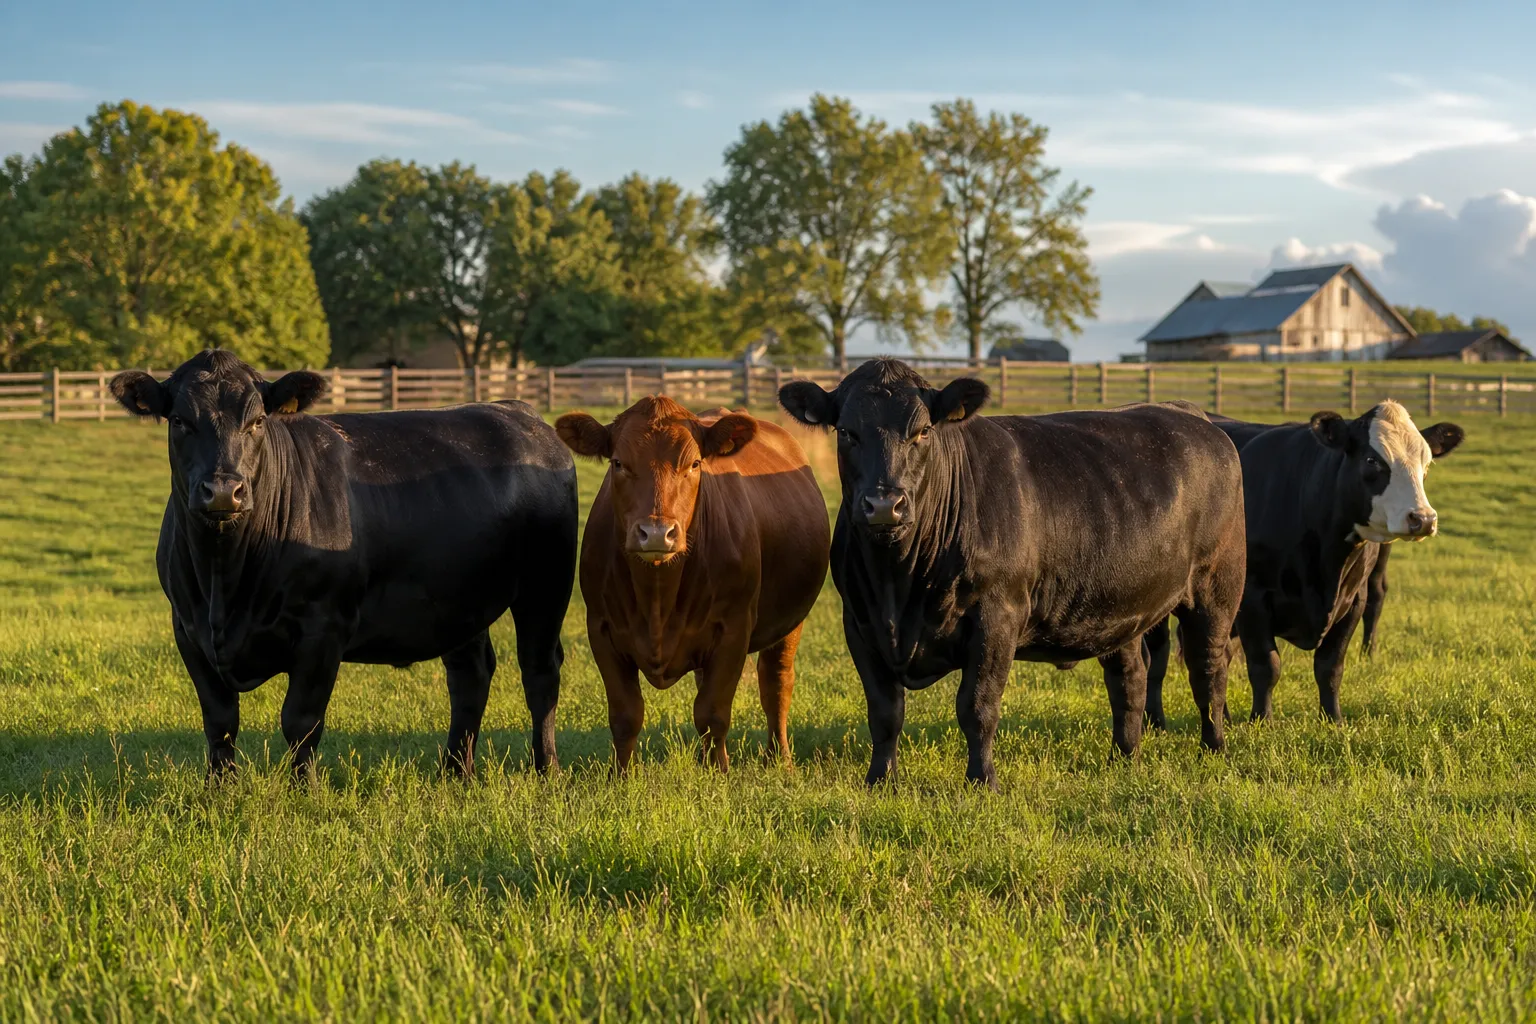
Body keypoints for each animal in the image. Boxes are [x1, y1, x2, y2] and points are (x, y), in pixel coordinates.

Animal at [109, 350, 578, 779]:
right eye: (179, 422)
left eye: (257, 421)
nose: (224, 491)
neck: (224, 582)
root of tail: (518, 411)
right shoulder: (188, 629)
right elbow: (219, 721)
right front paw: (219, 791)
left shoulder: (323, 626)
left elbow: (300, 720)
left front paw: (304, 793)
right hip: (460, 600)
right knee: (470, 675)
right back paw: (454, 773)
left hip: (546, 584)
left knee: (539, 672)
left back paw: (546, 770)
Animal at [555, 396, 829, 773]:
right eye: (618, 463)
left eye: (695, 463)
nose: (657, 532)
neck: (658, 596)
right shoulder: (600, 628)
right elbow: (626, 715)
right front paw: (620, 776)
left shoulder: (734, 629)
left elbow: (713, 712)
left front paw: (719, 773)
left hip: (790, 621)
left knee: (776, 683)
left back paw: (779, 758)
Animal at [778, 359, 1247, 789]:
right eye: (846, 432)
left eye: (923, 431)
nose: (883, 505)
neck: (898, 583)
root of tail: (1190, 413)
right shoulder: (860, 622)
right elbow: (884, 711)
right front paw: (880, 781)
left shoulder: (996, 615)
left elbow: (977, 707)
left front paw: (982, 781)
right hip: (1121, 604)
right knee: (1129, 678)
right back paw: (1123, 758)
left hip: (1216, 591)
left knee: (1208, 669)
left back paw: (1214, 750)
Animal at [1143, 401, 1463, 726]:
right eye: (1372, 460)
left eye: (1426, 463)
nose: (1422, 518)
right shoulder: (1253, 598)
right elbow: (1266, 666)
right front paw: (1263, 720)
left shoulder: (1354, 598)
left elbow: (1330, 666)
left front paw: (1334, 719)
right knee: (1158, 655)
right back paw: (1155, 720)